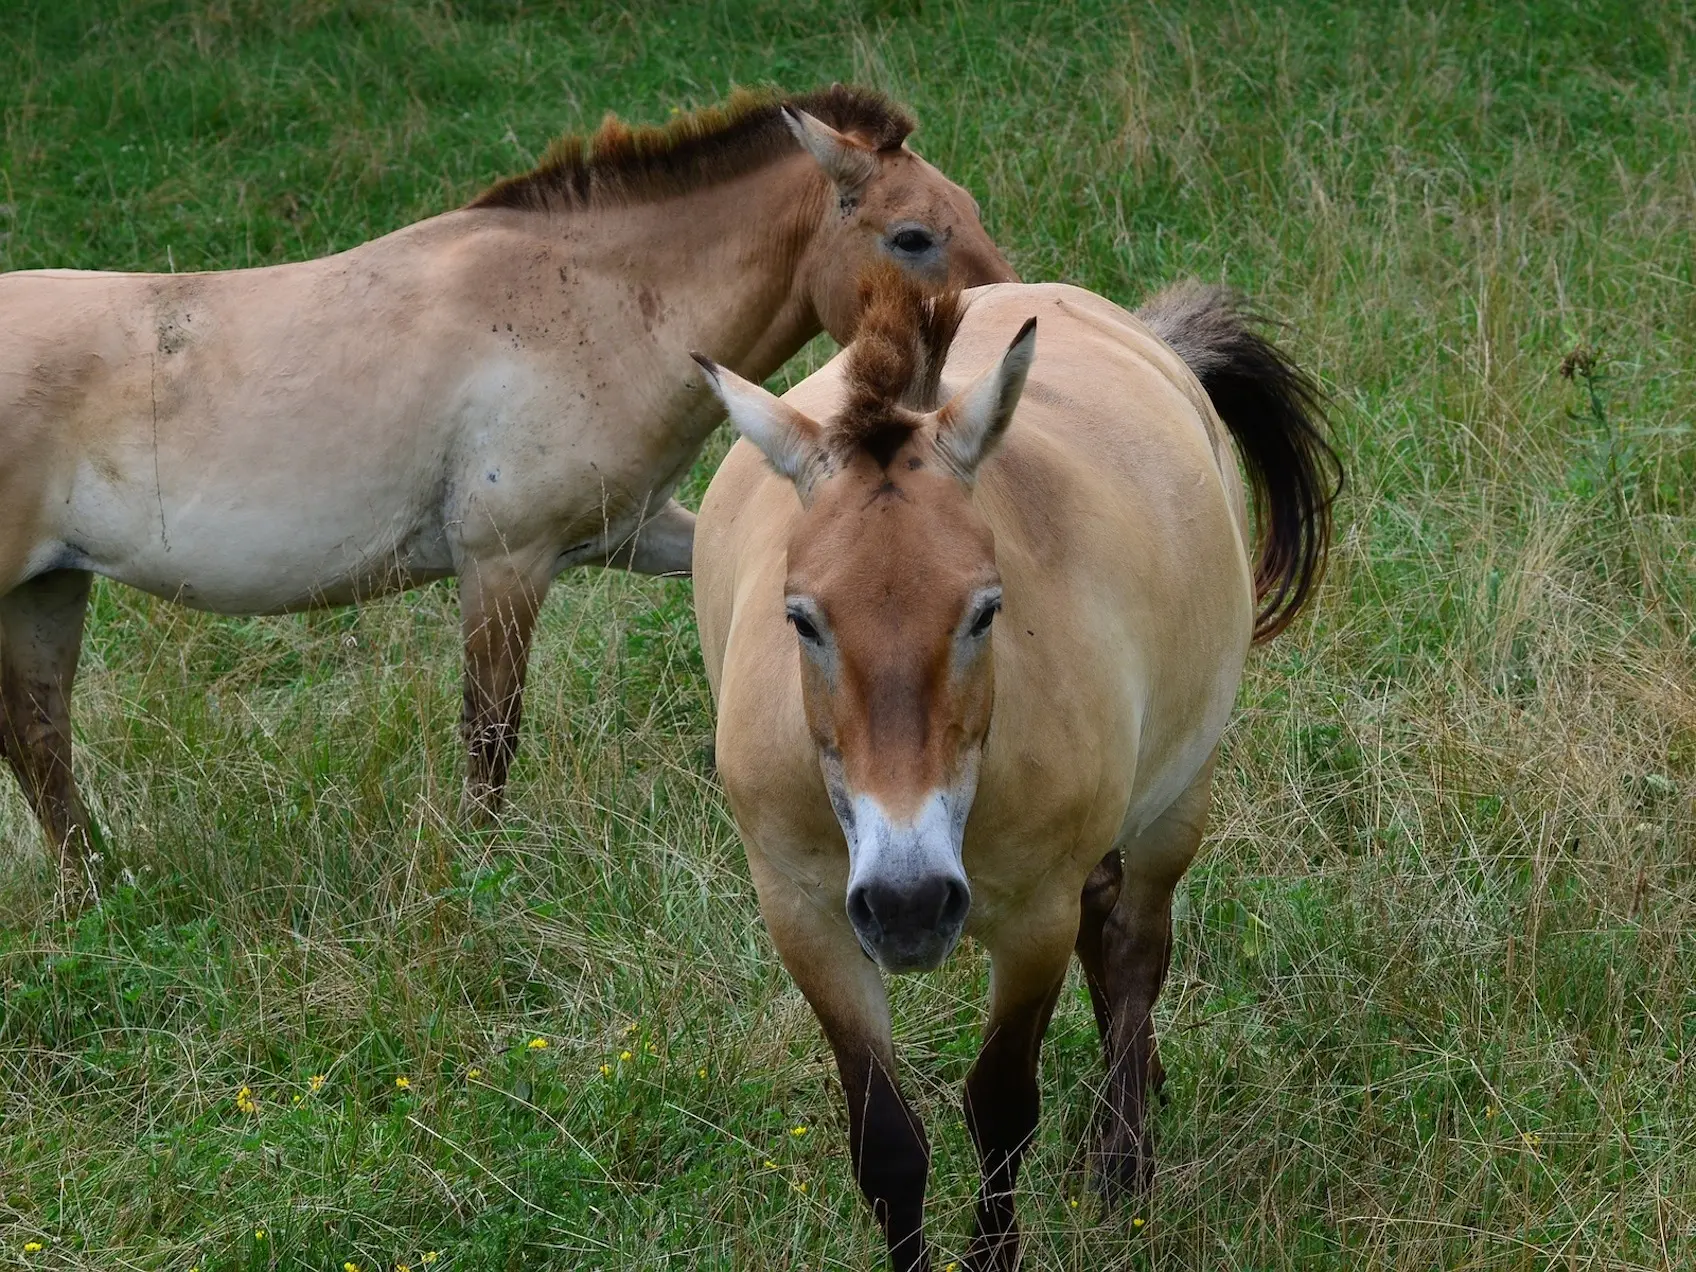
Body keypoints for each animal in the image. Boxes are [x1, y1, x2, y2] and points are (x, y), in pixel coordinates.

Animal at [0, 84, 1004, 895]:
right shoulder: (503, 563)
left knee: (39, 741)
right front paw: (485, 875)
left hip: (49, 590)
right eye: (913, 237)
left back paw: (100, 888)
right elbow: (490, 733)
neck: (595, 305)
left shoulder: (631, 533)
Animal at [688, 266, 1336, 1268]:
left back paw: (1123, 1154)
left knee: (1136, 946)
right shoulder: (806, 916)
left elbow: (1000, 1111)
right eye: (800, 617)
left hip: (1176, 803)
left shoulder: (1033, 920)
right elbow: (885, 1144)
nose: (909, 905)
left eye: (986, 610)